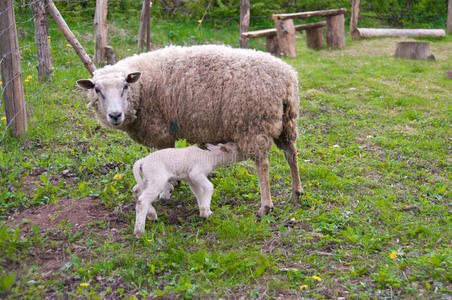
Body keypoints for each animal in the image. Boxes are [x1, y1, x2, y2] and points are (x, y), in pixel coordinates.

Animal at [77, 44, 304, 216]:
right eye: (97, 89)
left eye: (125, 86)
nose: (115, 115)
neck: (141, 90)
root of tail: (287, 77)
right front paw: (174, 184)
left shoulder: (161, 130)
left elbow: (163, 156)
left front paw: (166, 191)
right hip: (287, 121)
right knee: (291, 153)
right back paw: (296, 193)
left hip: (253, 124)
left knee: (263, 164)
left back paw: (266, 206)